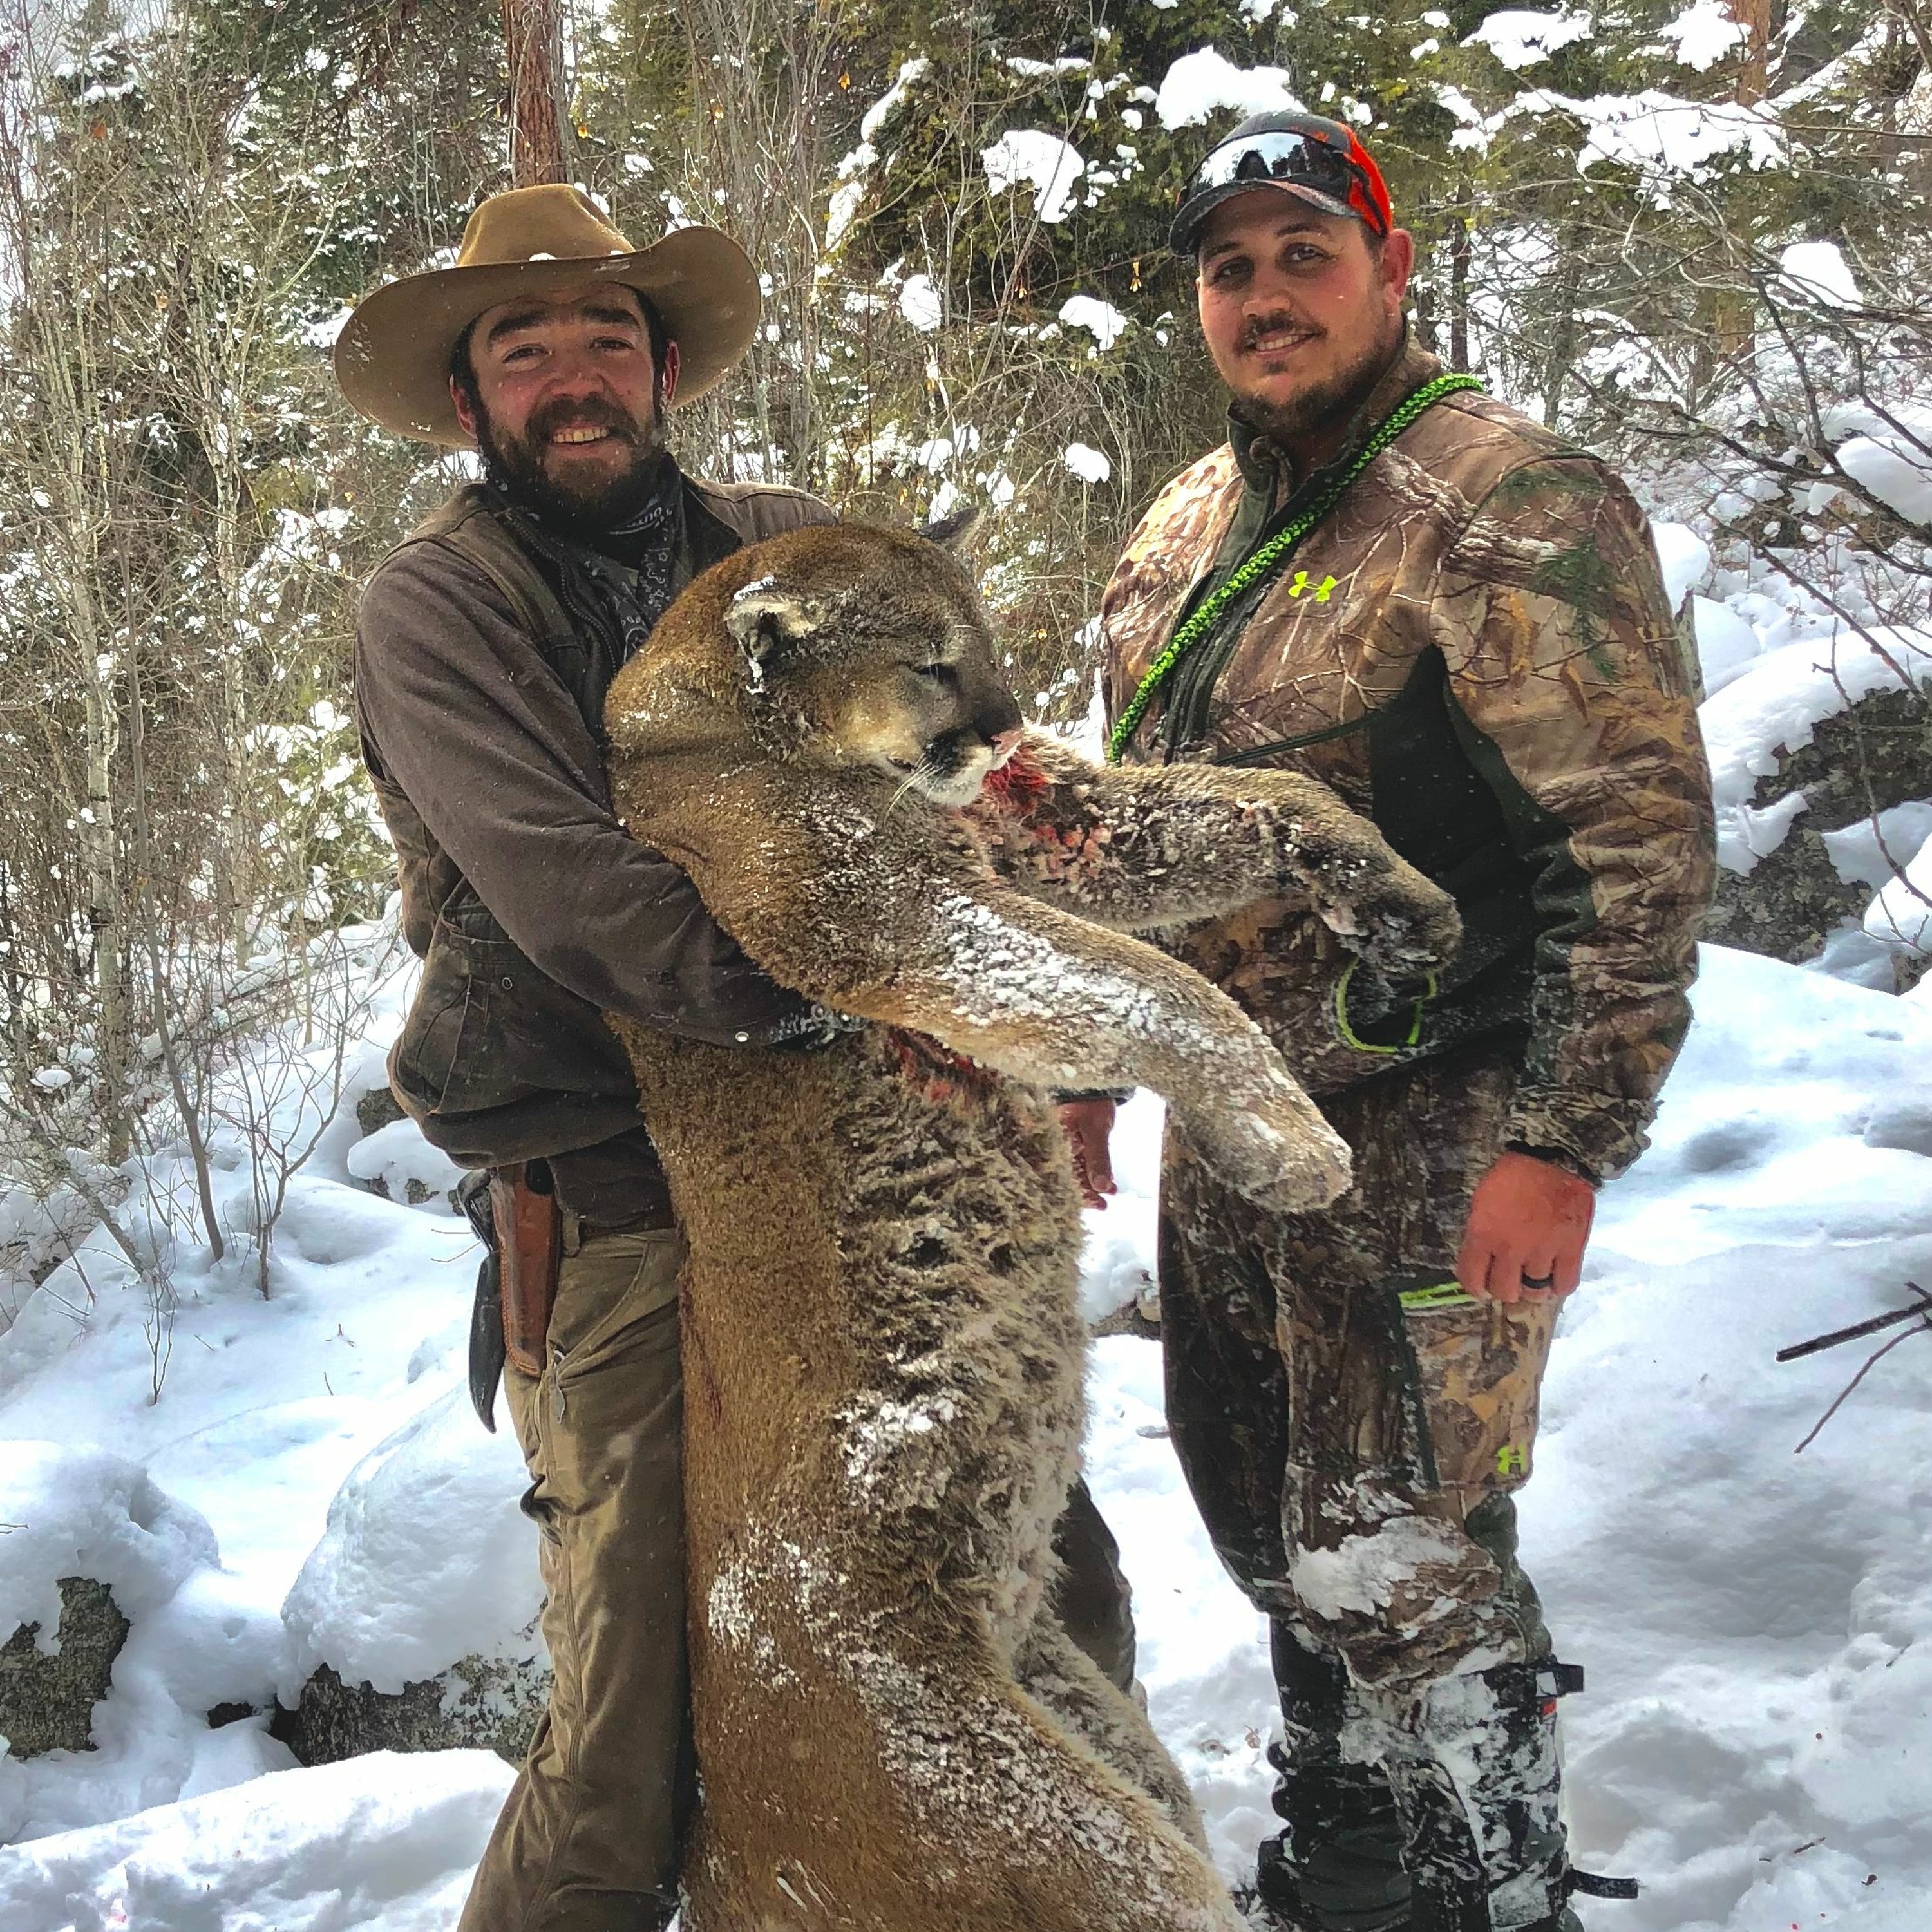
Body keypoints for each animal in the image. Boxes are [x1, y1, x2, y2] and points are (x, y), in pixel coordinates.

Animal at [599, 517, 1460, 1932]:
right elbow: (1156, 987)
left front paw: (1387, 890)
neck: (732, 725)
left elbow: (1242, 802)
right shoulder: (911, 924)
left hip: (1094, 1730)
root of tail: (720, 1854)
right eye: (933, 661)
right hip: (1044, 1833)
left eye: (994, 644)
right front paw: (1283, 1143)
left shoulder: (1049, 841)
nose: (1002, 729)